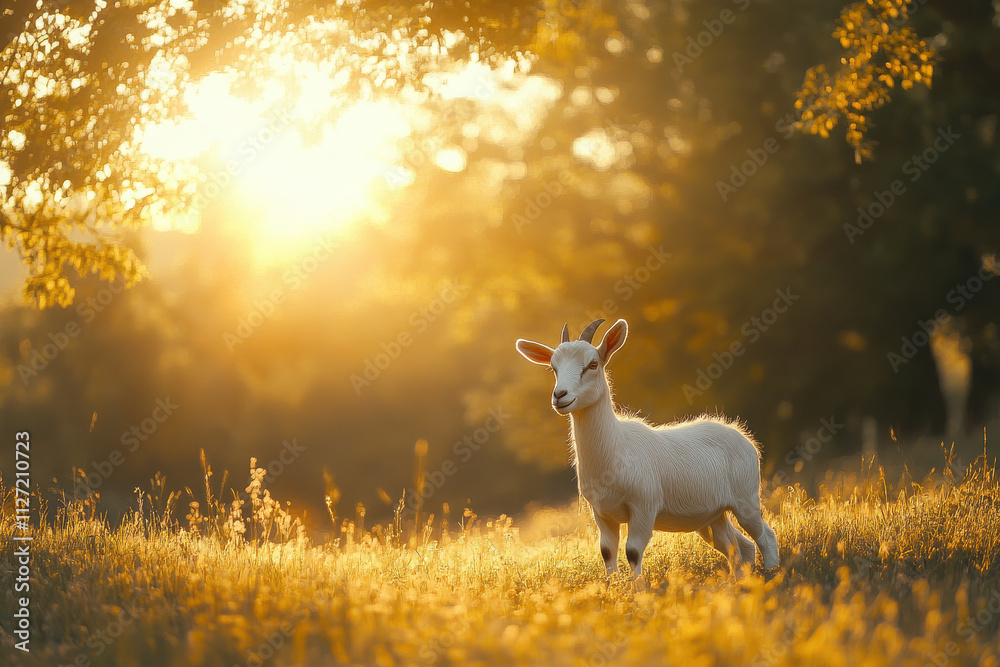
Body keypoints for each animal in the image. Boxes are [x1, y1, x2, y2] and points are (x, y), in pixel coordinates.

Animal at [515, 318, 779, 581]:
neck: (616, 447)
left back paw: (772, 573)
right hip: (712, 516)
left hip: (746, 499)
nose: (560, 396)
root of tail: (743, 438)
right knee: (739, 546)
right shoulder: (602, 513)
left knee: (765, 536)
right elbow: (607, 553)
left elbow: (632, 551)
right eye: (553, 368)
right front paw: (613, 588)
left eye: (592, 364)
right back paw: (742, 582)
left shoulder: (643, 505)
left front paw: (638, 589)